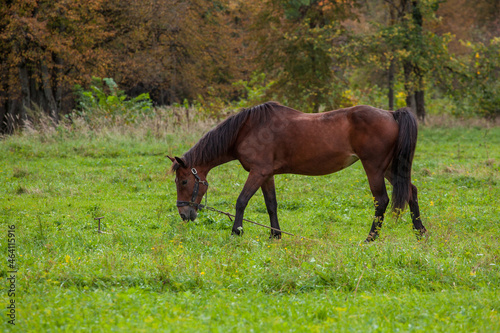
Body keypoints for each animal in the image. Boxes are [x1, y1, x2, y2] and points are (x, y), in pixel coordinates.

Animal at [168, 101, 426, 241]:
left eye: (183, 182)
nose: (184, 214)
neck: (247, 129)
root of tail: (391, 114)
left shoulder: (257, 172)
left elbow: (241, 201)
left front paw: (236, 231)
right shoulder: (266, 175)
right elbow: (271, 204)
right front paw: (275, 235)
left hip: (374, 167)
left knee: (381, 200)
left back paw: (370, 239)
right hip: (390, 168)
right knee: (411, 191)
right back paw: (420, 232)